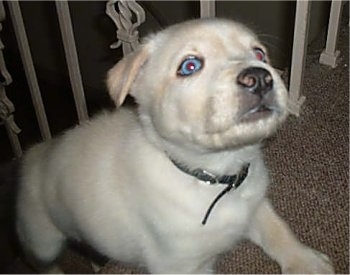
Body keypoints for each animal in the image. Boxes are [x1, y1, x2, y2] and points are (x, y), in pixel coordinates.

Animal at [16, 18, 334, 274]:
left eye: (259, 53)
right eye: (190, 66)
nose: (260, 77)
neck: (214, 177)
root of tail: (35, 152)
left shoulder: (256, 204)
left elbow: (278, 230)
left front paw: (307, 262)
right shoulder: (181, 265)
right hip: (42, 240)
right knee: (39, 261)